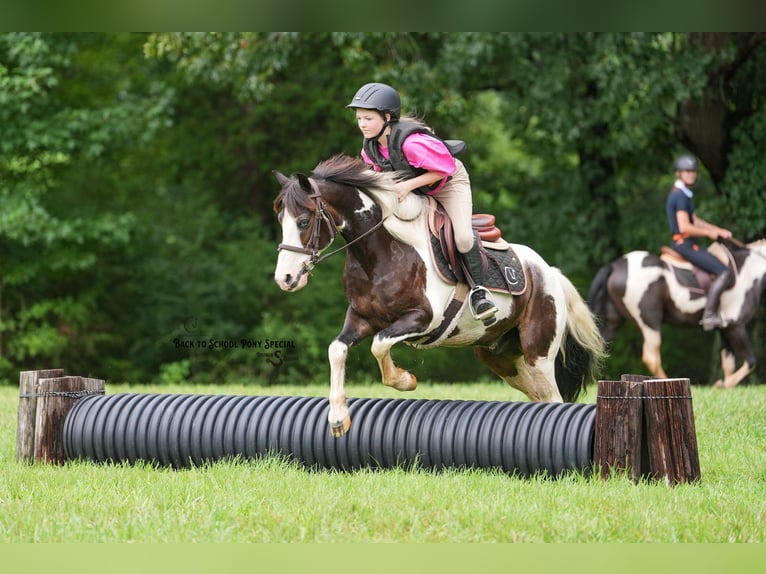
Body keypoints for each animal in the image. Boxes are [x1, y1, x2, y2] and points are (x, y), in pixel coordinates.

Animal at [273, 154, 606, 437]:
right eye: (281, 222)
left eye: (303, 222)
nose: (284, 279)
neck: (379, 253)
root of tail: (549, 271)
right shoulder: (361, 318)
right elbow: (337, 350)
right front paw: (338, 418)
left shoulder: (422, 319)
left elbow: (379, 345)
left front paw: (405, 380)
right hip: (500, 356)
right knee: (538, 394)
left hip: (539, 351)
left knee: (552, 396)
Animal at [587, 239, 766, 388]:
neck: (748, 273)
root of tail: (616, 265)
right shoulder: (736, 326)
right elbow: (751, 361)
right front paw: (724, 385)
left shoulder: (725, 330)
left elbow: (728, 365)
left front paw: (722, 385)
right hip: (649, 321)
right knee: (651, 356)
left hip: (613, 321)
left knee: (598, 347)